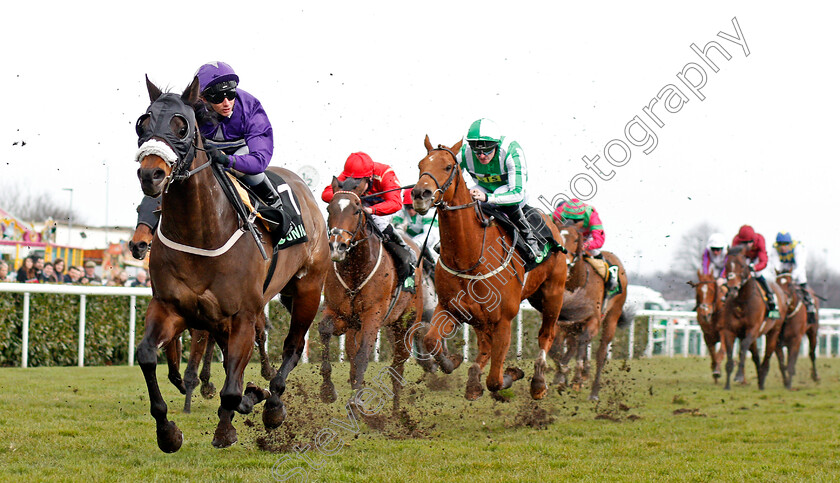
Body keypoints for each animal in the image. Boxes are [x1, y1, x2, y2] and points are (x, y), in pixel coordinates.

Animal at [134, 77, 328, 452]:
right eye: (143, 123)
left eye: (182, 125)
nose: (151, 173)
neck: (200, 232)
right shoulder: (170, 307)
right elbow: (148, 355)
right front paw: (168, 432)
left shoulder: (242, 315)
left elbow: (233, 388)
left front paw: (228, 427)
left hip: (308, 288)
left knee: (293, 347)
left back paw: (274, 404)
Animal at [318, 180, 430, 410]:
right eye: (329, 209)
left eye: (357, 210)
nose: (337, 246)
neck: (355, 270)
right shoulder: (339, 313)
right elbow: (325, 331)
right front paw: (327, 390)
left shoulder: (373, 314)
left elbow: (363, 356)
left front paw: (355, 402)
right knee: (353, 355)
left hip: (406, 324)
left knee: (398, 366)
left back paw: (396, 410)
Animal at [410, 136, 568, 400]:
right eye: (420, 164)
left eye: (447, 166)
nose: (420, 194)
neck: (468, 257)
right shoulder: (449, 307)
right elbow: (431, 340)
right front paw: (452, 362)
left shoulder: (504, 319)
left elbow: (495, 380)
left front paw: (513, 373)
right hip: (480, 316)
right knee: (484, 345)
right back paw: (474, 379)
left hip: (553, 295)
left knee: (546, 336)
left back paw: (538, 382)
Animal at [548, 219, 628, 400]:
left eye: (577, 239)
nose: (565, 262)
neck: (576, 284)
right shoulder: (561, 322)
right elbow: (555, 350)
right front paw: (563, 374)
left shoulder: (593, 321)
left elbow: (582, 345)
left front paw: (577, 378)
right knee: (572, 346)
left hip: (612, 316)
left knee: (600, 353)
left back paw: (594, 391)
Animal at [720, 248, 788, 392]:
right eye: (727, 265)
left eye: (742, 266)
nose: (732, 288)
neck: (742, 302)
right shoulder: (729, 330)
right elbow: (730, 354)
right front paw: (727, 385)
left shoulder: (752, 329)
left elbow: (743, 347)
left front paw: (739, 376)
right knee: (756, 356)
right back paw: (760, 379)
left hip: (773, 331)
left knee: (767, 354)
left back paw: (762, 379)